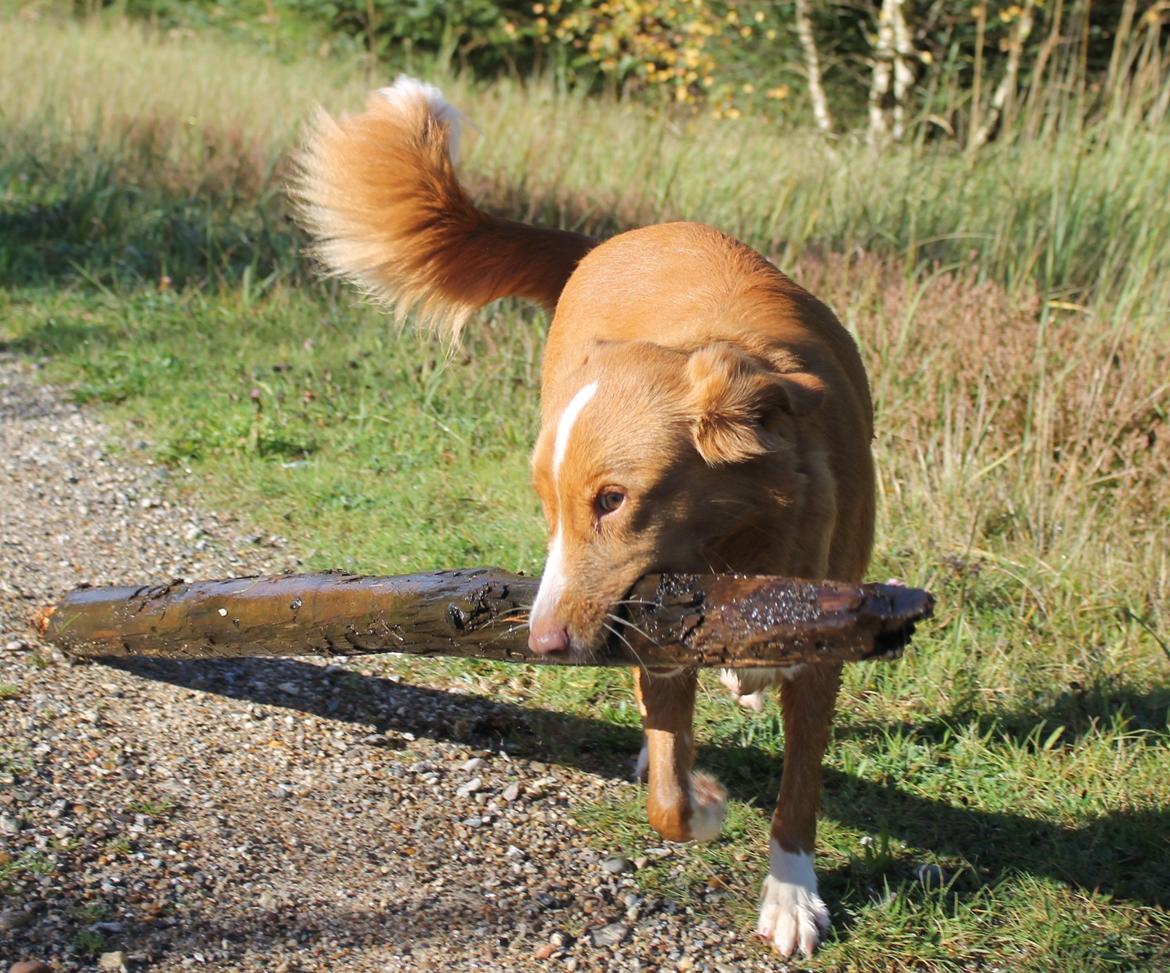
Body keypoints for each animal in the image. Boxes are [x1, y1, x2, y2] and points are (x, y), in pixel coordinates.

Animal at [297, 77, 875, 958]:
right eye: (552, 506)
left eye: (614, 499)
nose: (542, 642)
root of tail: (616, 238)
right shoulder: (659, 628)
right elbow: (669, 797)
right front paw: (700, 797)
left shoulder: (827, 638)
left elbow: (801, 782)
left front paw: (792, 893)